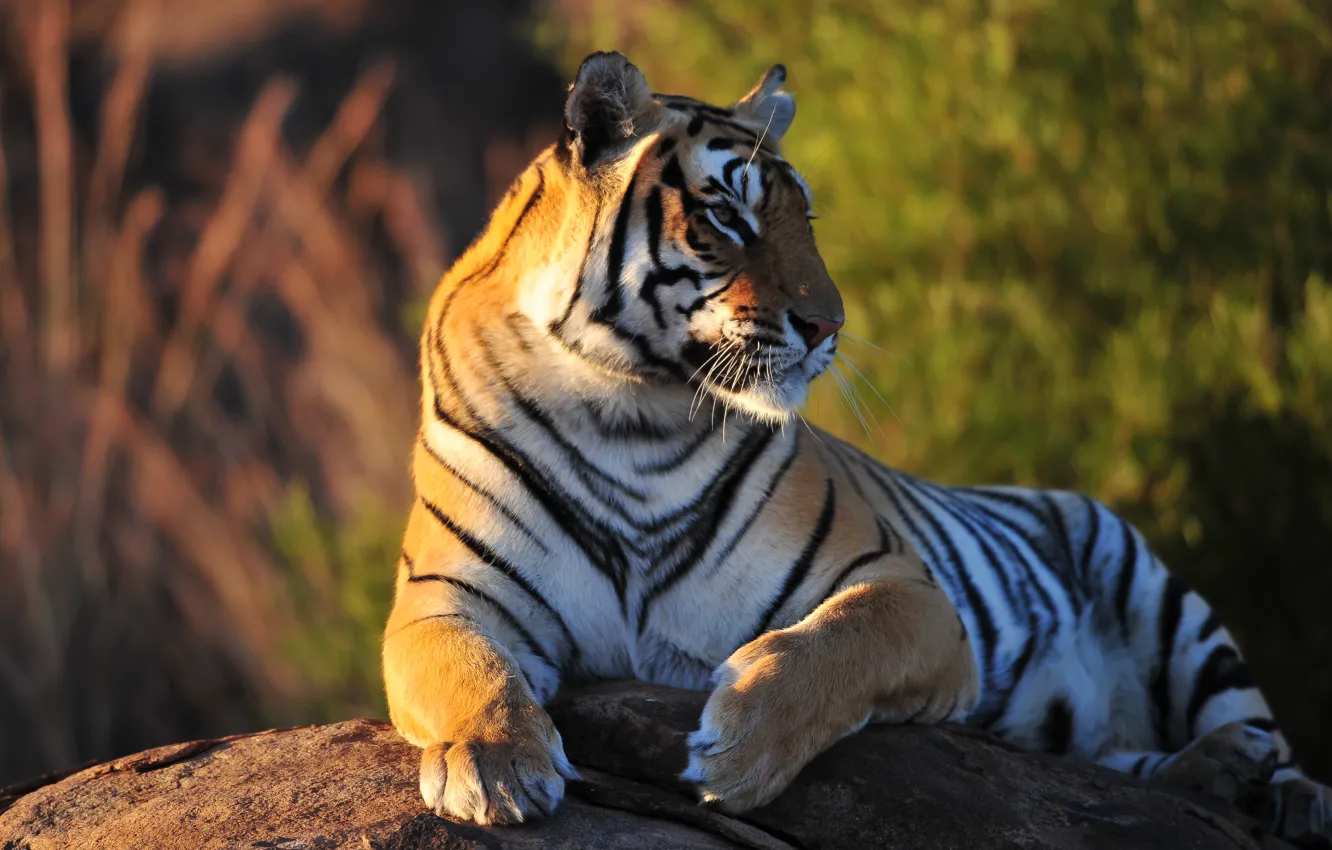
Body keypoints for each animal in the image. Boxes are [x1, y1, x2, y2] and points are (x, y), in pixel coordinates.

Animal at [381, 51, 1331, 843]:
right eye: (728, 216)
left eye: (806, 217)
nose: (829, 325)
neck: (627, 410)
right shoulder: (444, 598)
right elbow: (467, 669)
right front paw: (496, 764)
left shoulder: (910, 592)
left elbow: (835, 646)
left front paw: (741, 746)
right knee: (1110, 761)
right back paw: (1220, 775)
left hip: (1167, 602)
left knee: (1252, 724)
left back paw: (1276, 787)